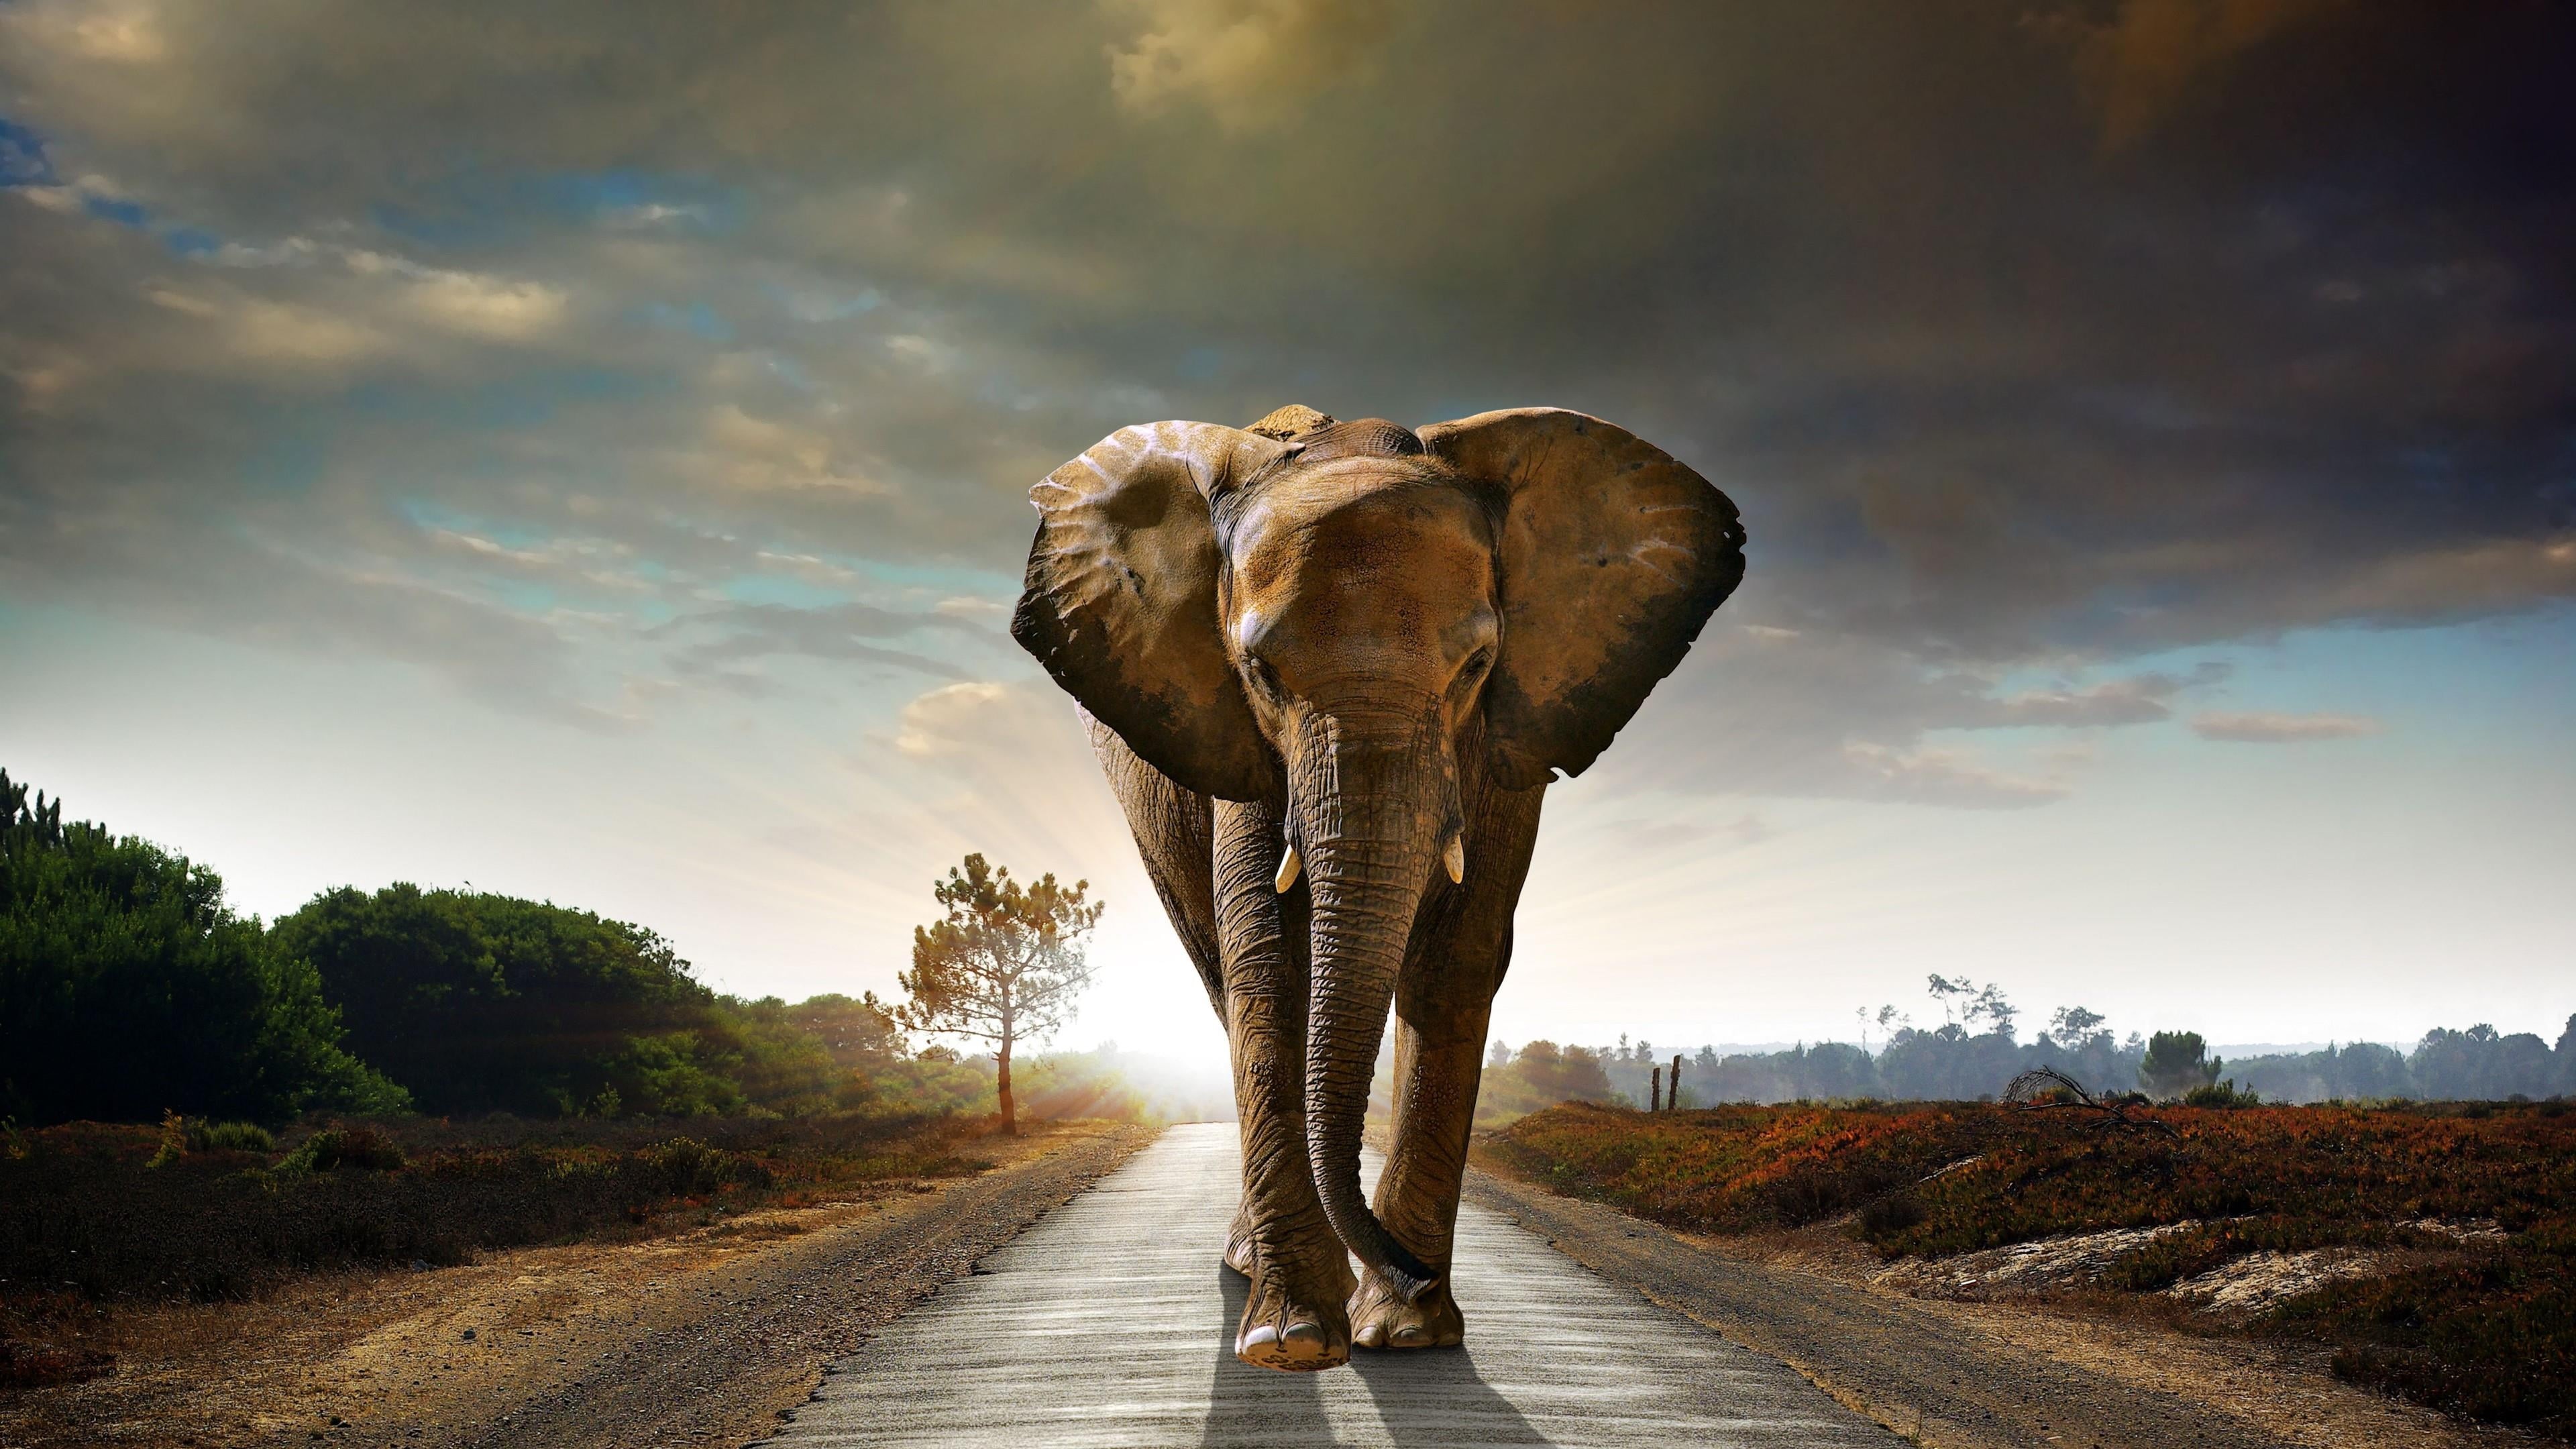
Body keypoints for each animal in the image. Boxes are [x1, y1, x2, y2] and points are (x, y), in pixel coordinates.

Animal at [1010, 402, 1744, 1371]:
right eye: (1260, 673)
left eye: (1476, 666)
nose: (1412, 1272)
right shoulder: (1239, 743)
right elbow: (1269, 959)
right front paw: (1293, 1342)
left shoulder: (1507, 738)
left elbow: (1458, 958)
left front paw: (1407, 1332)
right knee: (1218, 972)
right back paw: (1253, 1270)